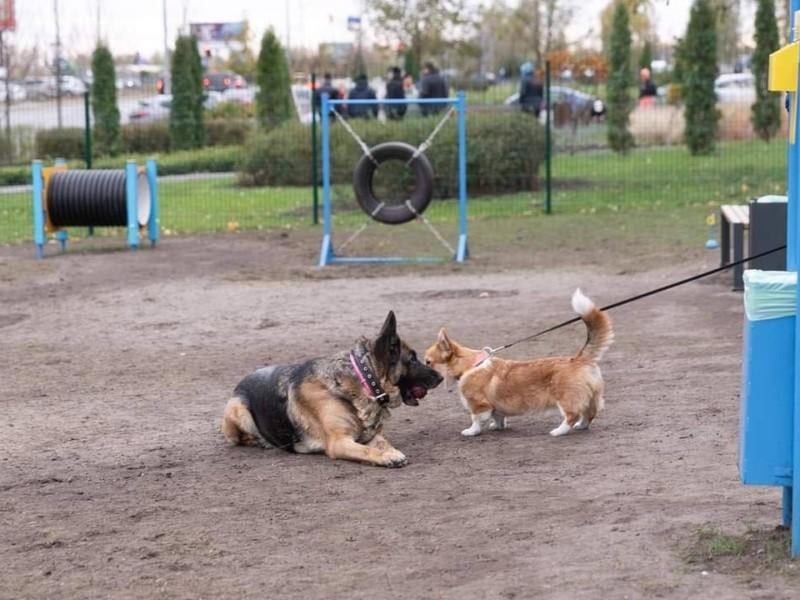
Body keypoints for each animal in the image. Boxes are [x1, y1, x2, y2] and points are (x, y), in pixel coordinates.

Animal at [222, 312, 440, 466]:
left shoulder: (373, 434)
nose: (441, 377)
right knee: (240, 438)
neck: (363, 381)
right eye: (412, 359)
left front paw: (391, 451)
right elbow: (367, 450)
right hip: (238, 409)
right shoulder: (339, 442)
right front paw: (386, 457)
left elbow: (384, 442)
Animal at [424, 290, 612, 436]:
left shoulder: (479, 405)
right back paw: (581, 426)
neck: (470, 365)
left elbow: (475, 419)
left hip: (566, 399)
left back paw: (558, 431)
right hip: (592, 397)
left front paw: (471, 431)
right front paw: (497, 427)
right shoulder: (495, 407)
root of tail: (579, 359)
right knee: (589, 414)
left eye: (428, 362)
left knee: (571, 416)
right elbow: (498, 418)